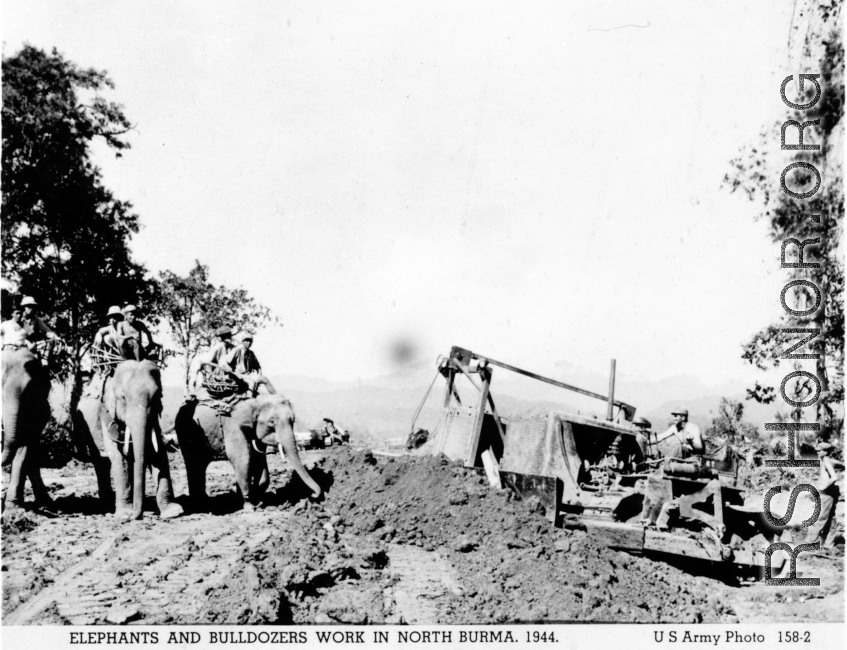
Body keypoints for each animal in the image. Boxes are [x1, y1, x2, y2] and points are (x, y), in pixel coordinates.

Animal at [177, 390, 322, 512]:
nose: (313, 495)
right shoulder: (233, 426)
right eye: (271, 422)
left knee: (199, 465)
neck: (255, 401)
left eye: (293, 420)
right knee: (193, 464)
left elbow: (259, 461)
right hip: (186, 433)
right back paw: (201, 505)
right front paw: (250, 506)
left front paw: (257, 500)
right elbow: (243, 458)